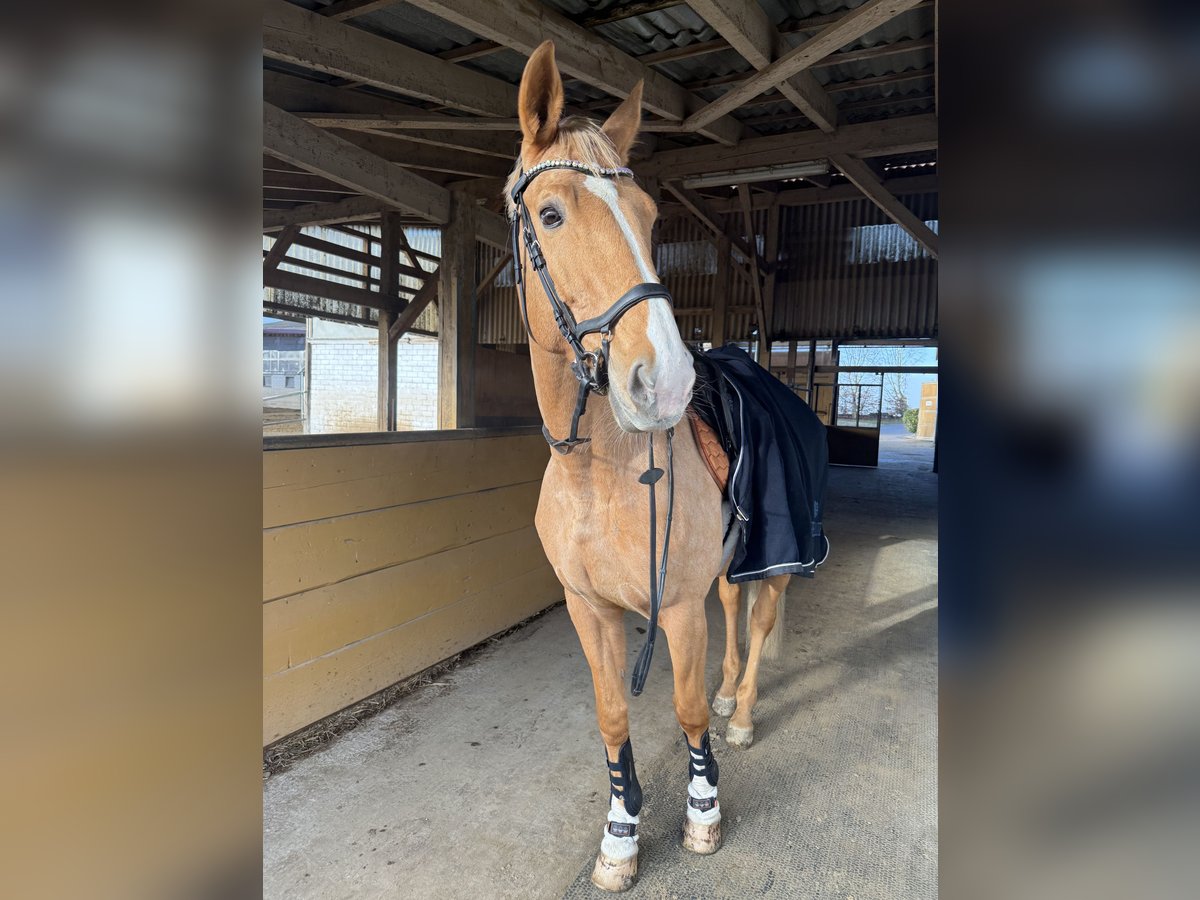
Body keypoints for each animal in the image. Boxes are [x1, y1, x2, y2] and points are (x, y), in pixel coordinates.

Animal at [509, 41, 791, 892]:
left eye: (648, 217)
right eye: (551, 214)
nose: (664, 380)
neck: (598, 477)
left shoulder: (676, 610)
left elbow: (687, 708)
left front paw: (702, 814)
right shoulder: (590, 611)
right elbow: (613, 715)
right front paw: (620, 837)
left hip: (774, 560)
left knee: (760, 621)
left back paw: (744, 712)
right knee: (736, 611)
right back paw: (735, 694)